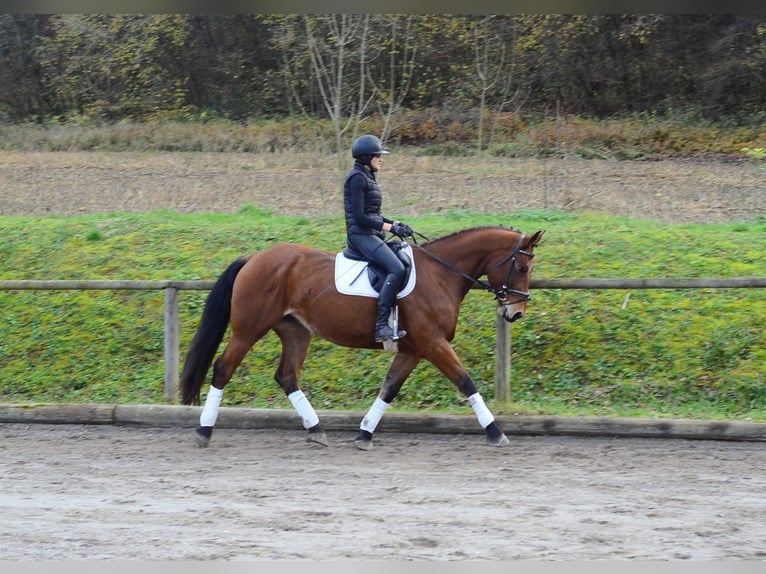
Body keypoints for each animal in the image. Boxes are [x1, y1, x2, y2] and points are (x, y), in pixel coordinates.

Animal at [179, 225, 545, 450]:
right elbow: (466, 382)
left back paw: (316, 430)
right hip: (249, 329)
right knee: (223, 368)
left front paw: (365, 433)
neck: (442, 274)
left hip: (295, 330)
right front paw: (496, 432)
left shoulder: (413, 349)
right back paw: (203, 431)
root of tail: (254, 259)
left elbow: (389, 388)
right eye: (521, 268)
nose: (515, 314)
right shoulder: (433, 344)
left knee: (286, 376)